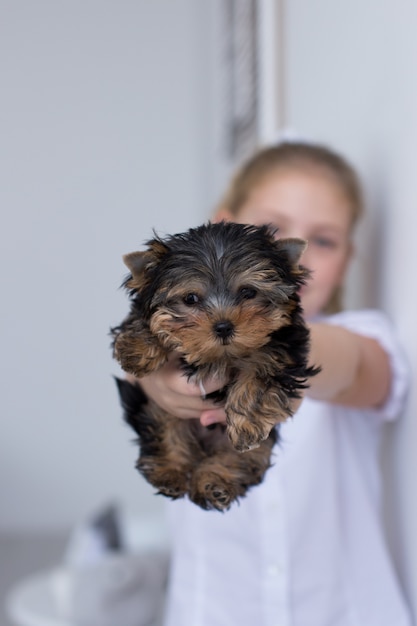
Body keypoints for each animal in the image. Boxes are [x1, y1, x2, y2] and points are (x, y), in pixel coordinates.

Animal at [111, 222, 318, 510]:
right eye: (190, 298)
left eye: (248, 292)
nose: (223, 326)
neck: (222, 356)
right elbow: (149, 318)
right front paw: (137, 347)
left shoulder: (284, 348)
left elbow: (260, 375)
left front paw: (246, 425)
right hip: (157, 408)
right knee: (164, 432)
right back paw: (169, 473)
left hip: (251, 447)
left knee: (241, 459)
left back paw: (215, 482)